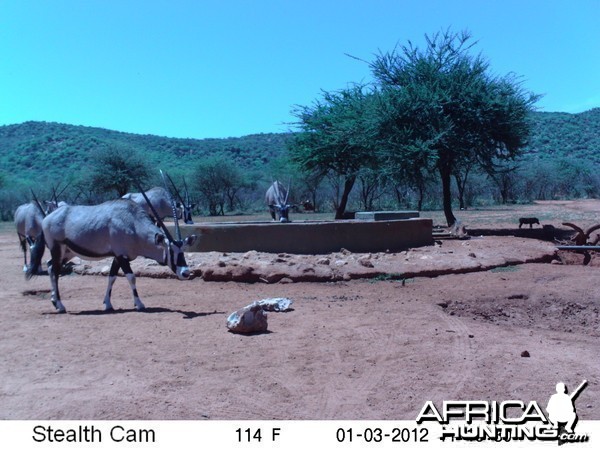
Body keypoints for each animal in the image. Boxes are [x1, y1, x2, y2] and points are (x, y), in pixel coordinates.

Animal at [27, 192, 196, 312]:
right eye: (171, 251)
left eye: (183, 250)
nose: (186, 273)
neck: (133, 223)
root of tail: (47, 218)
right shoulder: (122, 256)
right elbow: (131, 277)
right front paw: (139, 304)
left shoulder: (117, 257)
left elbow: (112, 277)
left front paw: (107, 304)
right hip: (57, 249)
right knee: (55, 270)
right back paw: (61, 306)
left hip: (68, 252)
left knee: (50, 266)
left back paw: (55, 302)